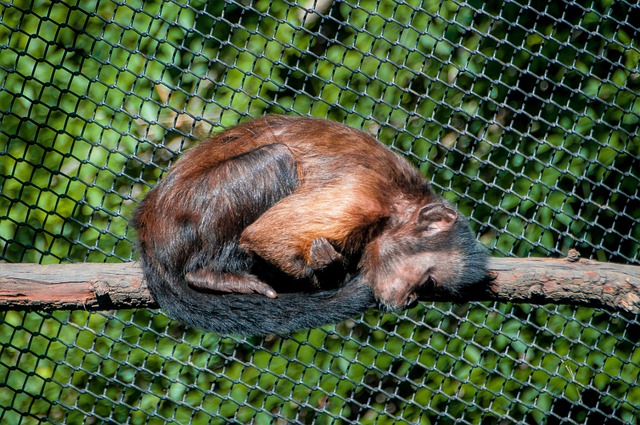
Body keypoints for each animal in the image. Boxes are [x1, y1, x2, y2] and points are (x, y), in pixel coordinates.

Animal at [132, 115, 488, 334]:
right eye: (428, 280)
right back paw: (207, 274)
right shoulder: (359, 198)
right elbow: (265, 235)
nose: (411, 299)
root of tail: (146, 227)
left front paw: (331, 269)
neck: (397, 204)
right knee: (275, 160)